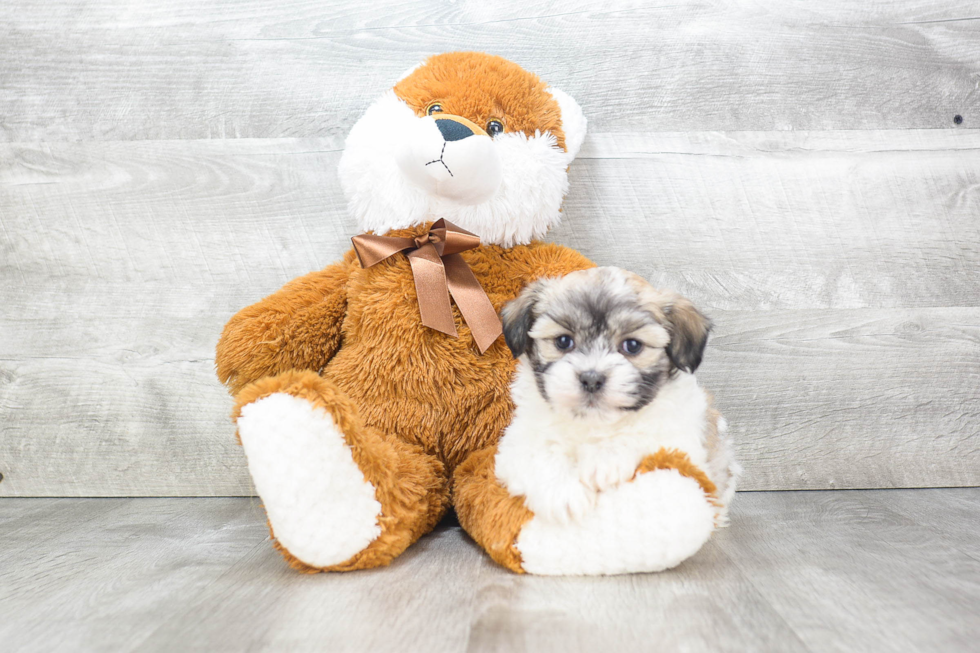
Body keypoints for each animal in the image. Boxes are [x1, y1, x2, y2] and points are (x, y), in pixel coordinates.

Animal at [494, 264, 740, 524]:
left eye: (632, 346)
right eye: (563, 341)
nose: (591, 378)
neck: (593, 423)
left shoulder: (681, 437)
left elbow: (644, 431)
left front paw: (605, 459)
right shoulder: (517, 441)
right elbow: (539, 453)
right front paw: (563, 493)